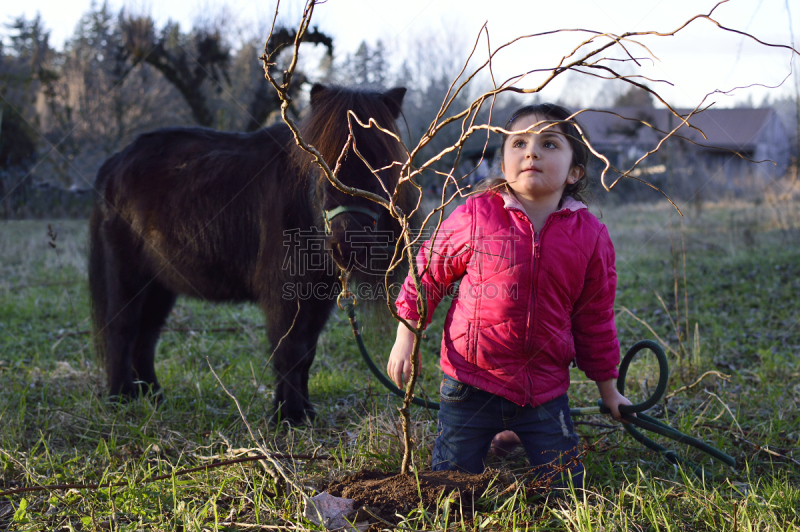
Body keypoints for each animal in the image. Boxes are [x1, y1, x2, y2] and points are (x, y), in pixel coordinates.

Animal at [90, 83, 410, 424]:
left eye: (382, 161)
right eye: (322, 162)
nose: (348, 244)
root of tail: (115, 163)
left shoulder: (318, 298)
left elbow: (306, 353)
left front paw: (304, 413)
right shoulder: (284, 294)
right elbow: (289, 349)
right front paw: (288, 416)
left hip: (160, 283)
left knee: (146, 334)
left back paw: (154, 397)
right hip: (128, 275)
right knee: (122, 328)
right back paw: (121, 399)